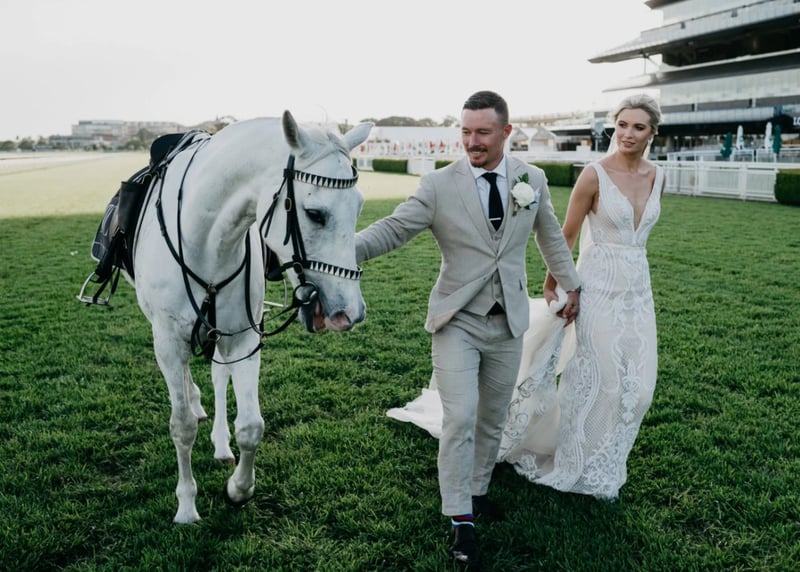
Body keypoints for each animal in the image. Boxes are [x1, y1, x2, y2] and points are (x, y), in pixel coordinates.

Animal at [95, 111, 371, 523]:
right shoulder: (168, 340)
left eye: (358, 207)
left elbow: (252, 426)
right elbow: (181, 426)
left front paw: (239, 488)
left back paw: (221, 441)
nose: (349, 312)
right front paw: (186, 504)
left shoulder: (242, 336)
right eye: (314, 214)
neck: (207, 240)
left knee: (217, 375)